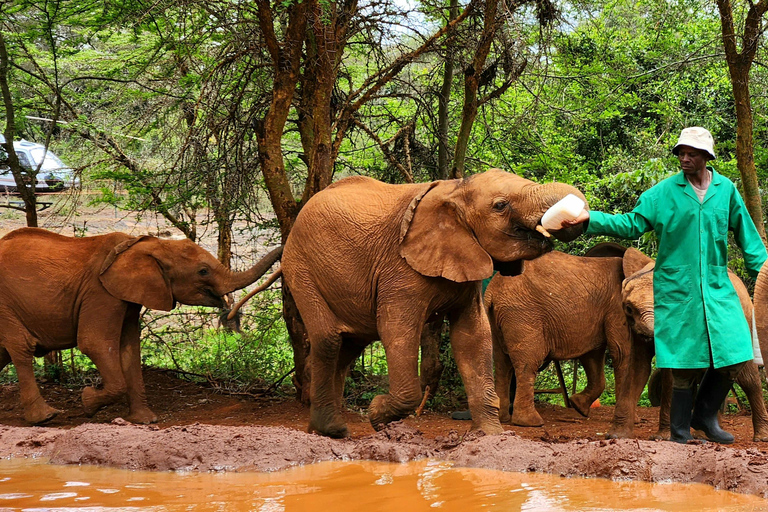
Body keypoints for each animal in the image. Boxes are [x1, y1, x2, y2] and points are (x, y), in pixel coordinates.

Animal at [0, 228, 282, 424]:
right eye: (203, 271)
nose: (283, 248)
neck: (147, 244)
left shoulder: (128, 295)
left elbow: (129, 348)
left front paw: (145, 420)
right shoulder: (100, 291)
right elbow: (94, 343)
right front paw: (88, 401)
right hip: (4, 304)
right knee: (21, 347)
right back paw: (45, 417)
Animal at [282, 167, 588, 436]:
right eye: (500, 206)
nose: (576, 217)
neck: (455, 189)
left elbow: (472, 336)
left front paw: (491, 436)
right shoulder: (399, 269)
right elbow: (396, 330)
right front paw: (376, 415)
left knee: (349, 346)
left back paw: (328, 430)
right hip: (300, 266)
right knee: (329, 340)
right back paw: (330, 431)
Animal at [486, 246, 656, 438]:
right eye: (631, 308)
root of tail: (491, 291)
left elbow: (592, 357)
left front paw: (578, 406)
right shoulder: (617, 310)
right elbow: (623, 354)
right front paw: (635, 420)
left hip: (498, 318)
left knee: (501, 364)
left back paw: (503, 418)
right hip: (522, 315)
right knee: (527, 364)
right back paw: (530, 422)